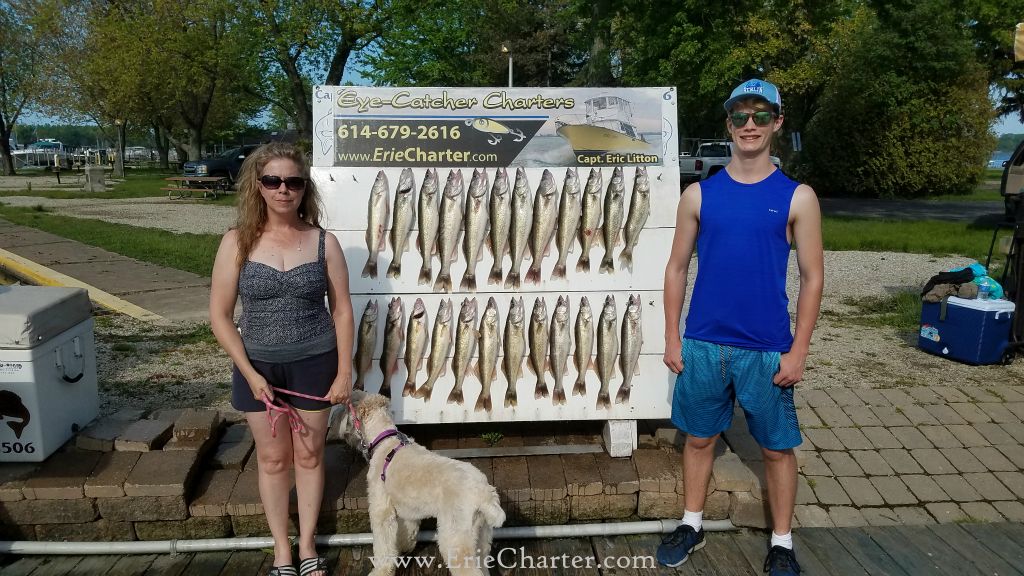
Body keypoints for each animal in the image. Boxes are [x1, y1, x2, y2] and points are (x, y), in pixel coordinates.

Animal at [329, 389, 505, 573]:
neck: (385, 440)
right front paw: (404, 546)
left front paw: (380, 571)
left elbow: (383, 545)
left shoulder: (380, 509)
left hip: (455, 538)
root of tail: (485, 493)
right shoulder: (408, 509)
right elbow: (408, 530)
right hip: (482, 538)